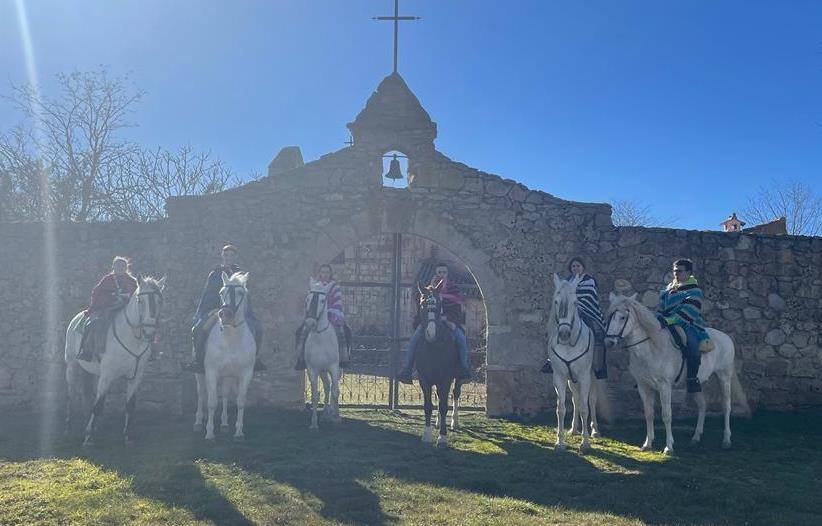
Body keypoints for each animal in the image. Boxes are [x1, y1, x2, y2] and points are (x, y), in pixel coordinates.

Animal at [64, 276, 166, 446]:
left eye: (159, 301)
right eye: (140, 301)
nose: (149, 332)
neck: (131, 339)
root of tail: (76, 318)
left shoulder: (135, 376)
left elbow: (129, 405)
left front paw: (127, 436)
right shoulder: (107, 374)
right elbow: (98, 405)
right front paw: (88, 437)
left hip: (92, 371)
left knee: (88, 395)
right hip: (72, 366)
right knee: (71, 394)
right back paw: (70, 426)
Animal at [194, 272, 256, 442]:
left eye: (241, 292)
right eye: (222, 292)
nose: (225, 315)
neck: (231, 340)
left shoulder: (245, 373)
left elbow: (240, 401)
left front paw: (239, 431)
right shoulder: (211, 372)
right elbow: (212, 402)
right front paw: (209, 433)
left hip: (228, 376)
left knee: (226, 394)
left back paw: (224, 423)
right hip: (200, 373)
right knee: (201, 393)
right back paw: (198, 422)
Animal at [302, 280, 342, 428]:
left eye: (323, 300)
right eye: (308, 298)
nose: (310, 323)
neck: (321, 338)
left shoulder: (334, 367)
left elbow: (336, 392)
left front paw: (336, 418)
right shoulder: (312, 369)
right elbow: (314, 395)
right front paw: (314, 423)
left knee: (334, 388)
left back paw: (333, 414)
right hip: (323, 371)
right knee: (326, 386)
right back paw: (325, 414)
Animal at [552, 276, 600, 454]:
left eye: (575, 302)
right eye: (556, 301)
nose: (564, 334)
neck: (569, 344)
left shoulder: (585, 377)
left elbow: (585, 407)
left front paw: (585, 443)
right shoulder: (559, 376)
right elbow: (561, 408)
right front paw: (560, 442)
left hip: (594, 377)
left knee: (591, 400)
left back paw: (594, 430)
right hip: (571, 380)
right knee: (576, 398)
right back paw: (574, 429)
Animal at [600, 294, 736, 456]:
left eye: (622, 317)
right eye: (609, 316)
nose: (609, 341)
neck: (652, 348)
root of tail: (726, 337)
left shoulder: (664, 386)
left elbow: (666, 415)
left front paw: (669, 446)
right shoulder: (644, 386)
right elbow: (649, 413)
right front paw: (647, 443)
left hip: (724, 376)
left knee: (726, 406)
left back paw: (726, 440)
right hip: (696, 384)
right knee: (702, 405)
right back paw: (696, 437)